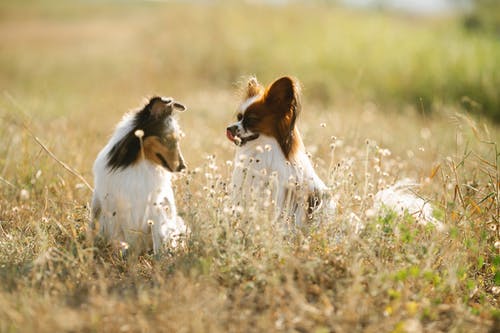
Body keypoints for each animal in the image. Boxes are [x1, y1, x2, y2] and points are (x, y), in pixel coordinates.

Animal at [91, 96, 188, 254]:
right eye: (167, 139)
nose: (183, 167)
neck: (140, 163)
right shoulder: (124, 210)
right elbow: (130, 239)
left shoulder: (156, 208)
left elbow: (157, 240)